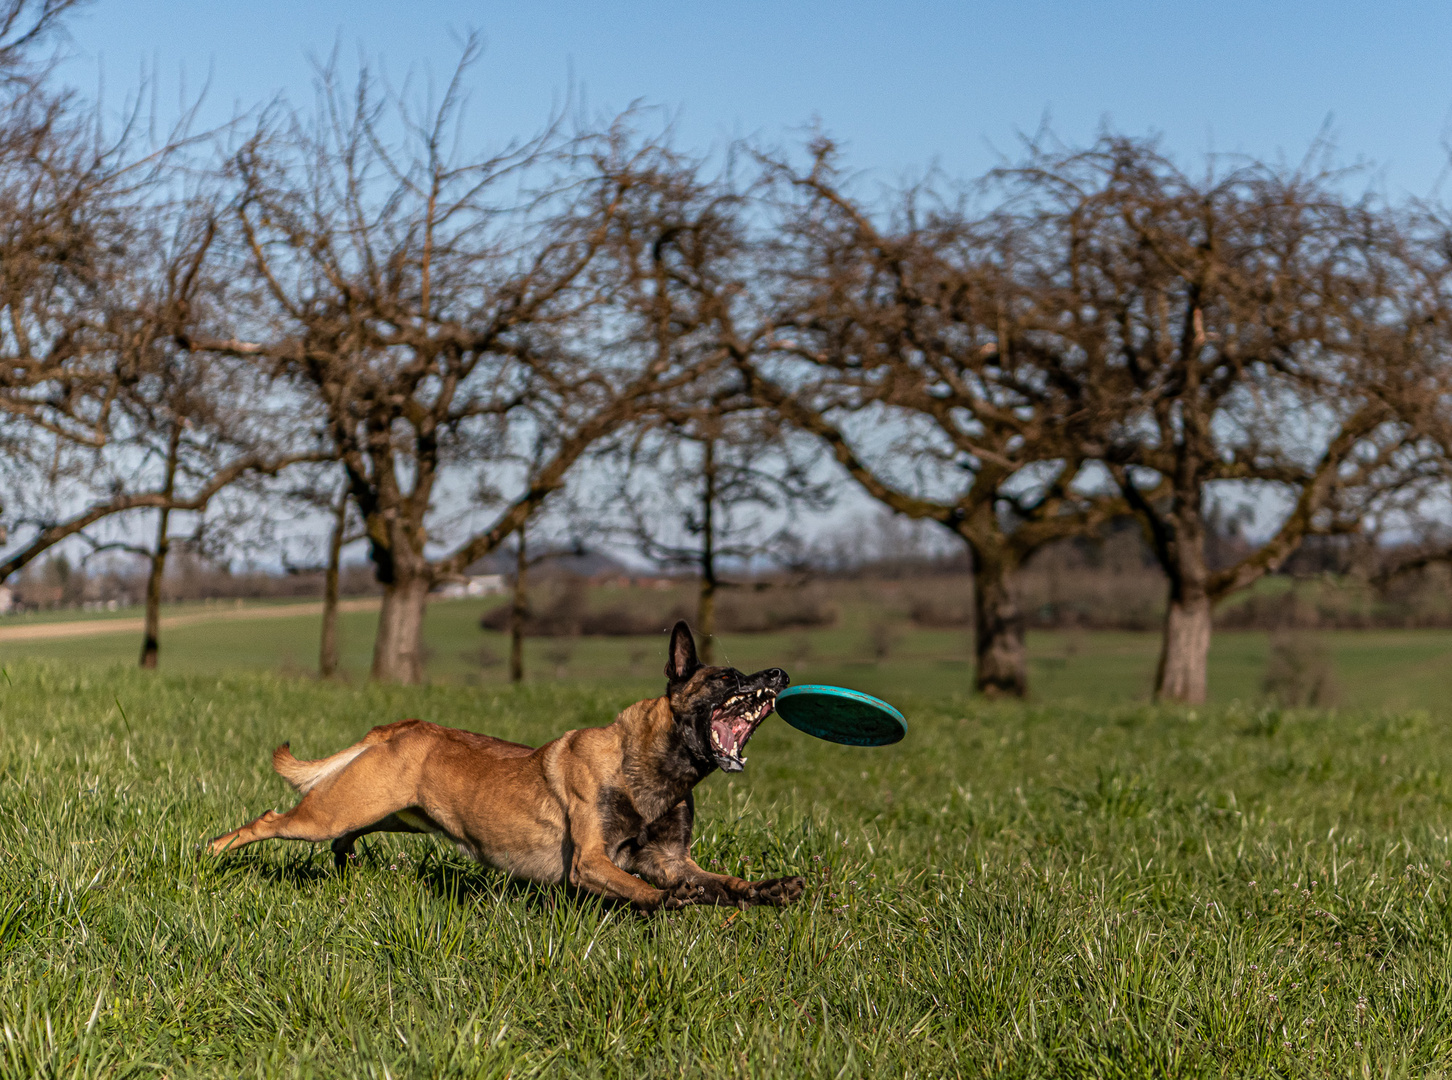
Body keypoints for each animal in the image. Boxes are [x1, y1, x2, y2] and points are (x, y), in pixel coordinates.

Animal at [207, 624, 807, 911]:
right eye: (727, 678)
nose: (779, 674)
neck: (652, 768)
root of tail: (398, 728)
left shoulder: (671, 860)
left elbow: (722, 881)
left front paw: (767, 889)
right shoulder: (590, 862)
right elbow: (639, 887)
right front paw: (666, 902)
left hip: (382, 813)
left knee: (341, 841)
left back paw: (348, 868)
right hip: (329, 813)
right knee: (267, 821)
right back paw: (209, 857)